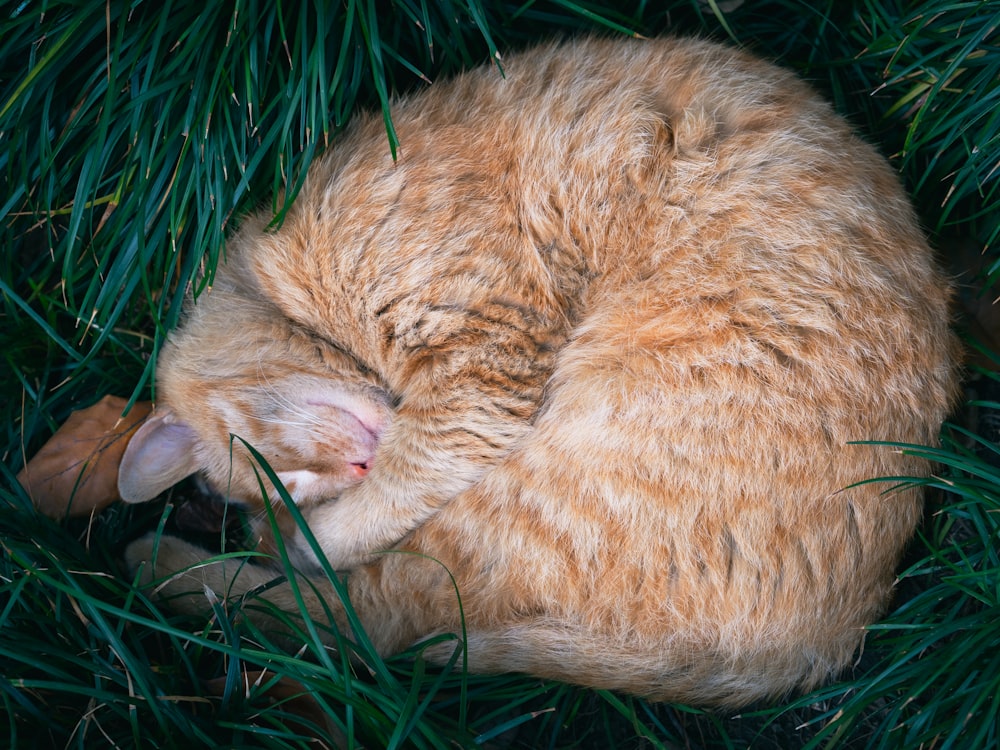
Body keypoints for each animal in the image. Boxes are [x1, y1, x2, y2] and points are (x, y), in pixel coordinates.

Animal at [119, 32, 960, 708]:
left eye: (284, 473)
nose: (350, 469)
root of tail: (829, 644)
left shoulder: (476, 380)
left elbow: (372, 511)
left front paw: (299, 529)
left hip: (526, 500)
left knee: (371, 623)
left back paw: (161, 564)